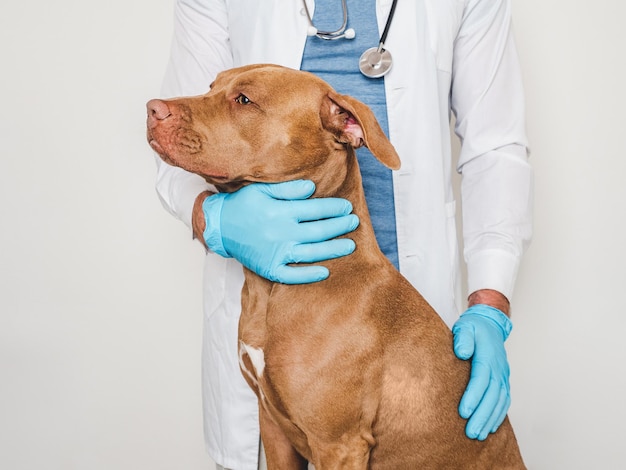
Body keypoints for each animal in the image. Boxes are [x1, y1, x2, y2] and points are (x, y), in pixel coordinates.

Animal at [145, 64, 520, 468]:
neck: (274, 287)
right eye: (211, 85)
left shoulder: (339, 443)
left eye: (244, 99)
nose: (152, 109)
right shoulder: (273, 427)